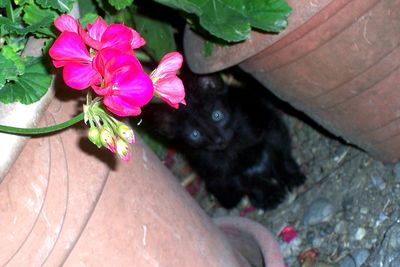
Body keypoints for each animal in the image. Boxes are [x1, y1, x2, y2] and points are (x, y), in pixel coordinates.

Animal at [139, 73, 304, 209]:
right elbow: (247, 182)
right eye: (195, 134)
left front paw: (291, 176)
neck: (233, 149)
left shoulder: (269, 126)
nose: (218, 140)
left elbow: (280, 154)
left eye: (217, 115)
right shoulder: (218, 173)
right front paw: (269, 195)